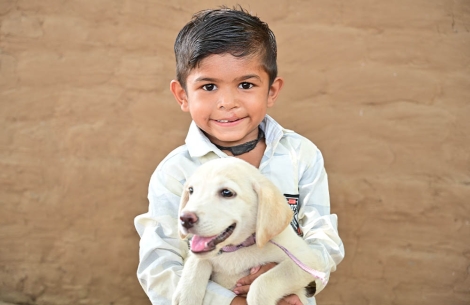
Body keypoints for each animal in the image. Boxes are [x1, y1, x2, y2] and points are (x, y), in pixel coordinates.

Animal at [173, 157, 326, 304]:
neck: (236, 250)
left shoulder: (307, 261)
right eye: (191, 191)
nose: (185, 219)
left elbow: (263, 283)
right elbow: (195, 265)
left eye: (227, 193)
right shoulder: (197, 255)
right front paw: (186, 296)